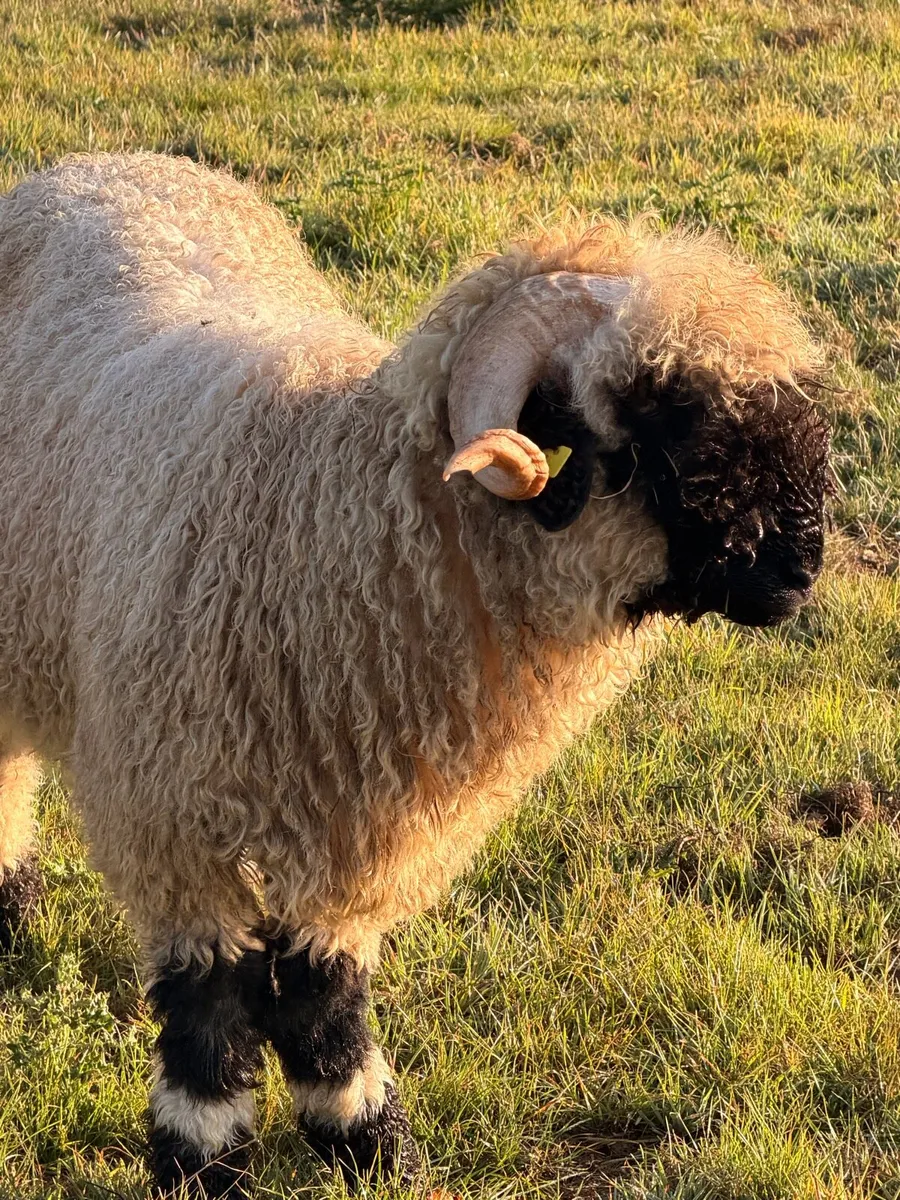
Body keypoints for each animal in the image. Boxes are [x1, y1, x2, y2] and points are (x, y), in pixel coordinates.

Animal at [0, 152, 830, 1197]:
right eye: (667, 410)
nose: (802, 568)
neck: (321, 518)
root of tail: (110, 162)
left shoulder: (373, 833)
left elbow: (324, 992)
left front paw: (365, 1139)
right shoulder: (172, 822)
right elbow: (209, 1008)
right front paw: (202, 1161)